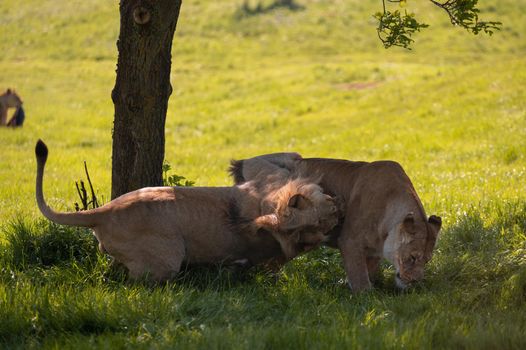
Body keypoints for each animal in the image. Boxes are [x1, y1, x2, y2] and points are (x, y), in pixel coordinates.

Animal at [37, 141, 342, 280]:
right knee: (136, 282)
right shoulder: (258, 168)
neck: (268, 200)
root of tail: (105, 210)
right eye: (319, 223)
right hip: (167, 260)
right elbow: (291, 155)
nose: (338, 213)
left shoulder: (255, 170)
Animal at [230, 152, 442, 292]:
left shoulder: (373, 251)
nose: (415, 282)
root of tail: (243, 162)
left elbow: (368, 270)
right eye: (412, 257)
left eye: (427, 260)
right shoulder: (350, 241)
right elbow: (360, 277)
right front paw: (368, 299)